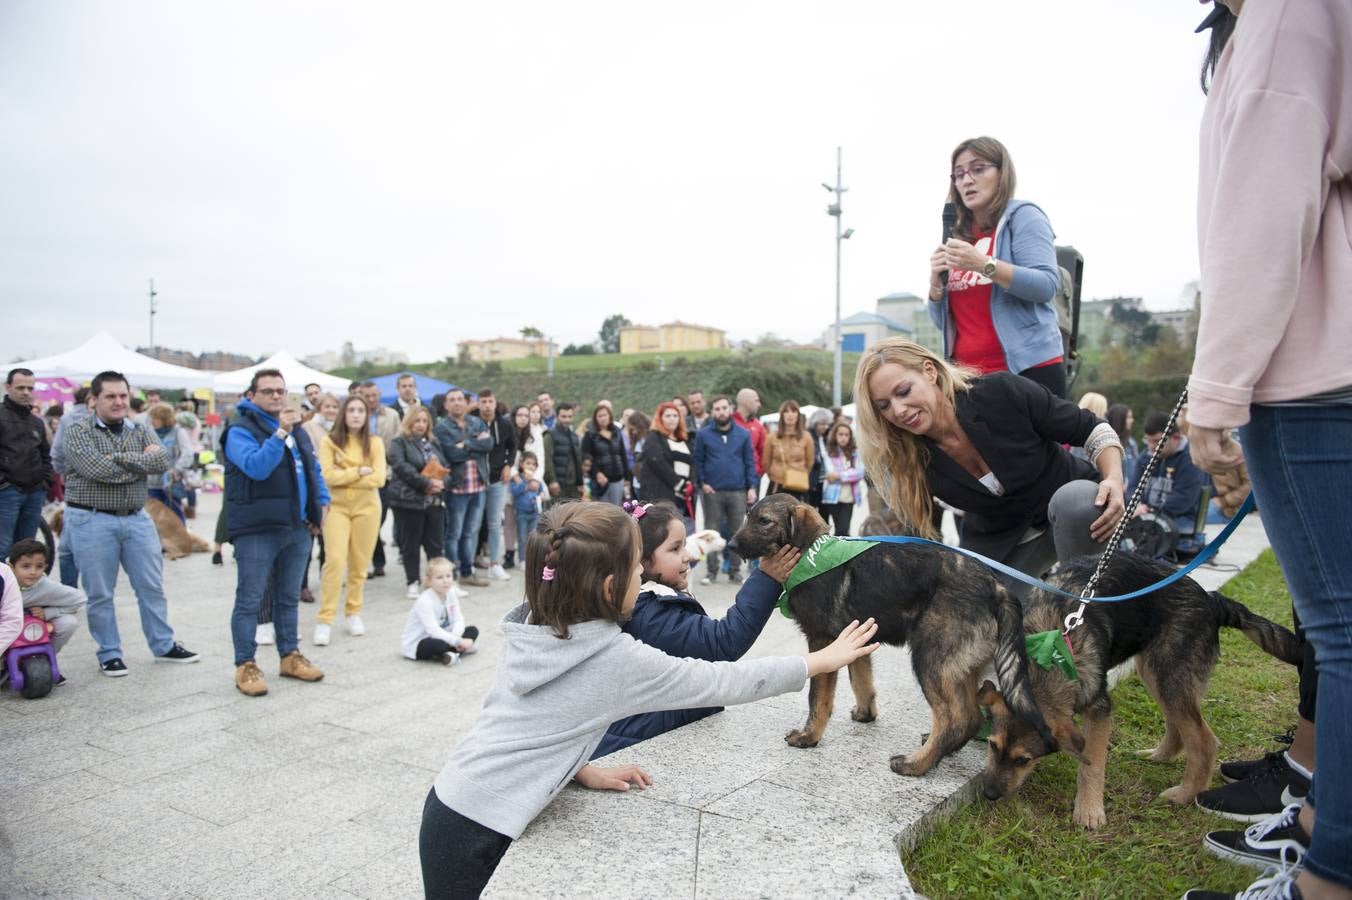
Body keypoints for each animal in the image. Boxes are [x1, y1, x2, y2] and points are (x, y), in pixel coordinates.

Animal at [724, 491, 1049, 772]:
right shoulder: (855, 640)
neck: (811, 555)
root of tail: (996, 587)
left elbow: (818, 697)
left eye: (764, 521)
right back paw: (939, 751)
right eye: (748, 517)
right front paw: (865, 715)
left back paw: (916, 764)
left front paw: (809, 736)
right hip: (960, 666)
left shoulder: (822, 640)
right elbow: (862, 682)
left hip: (930, 658)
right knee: (968, 717)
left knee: (952, 718)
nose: (731, 546)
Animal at [978, 551, 1303, 832]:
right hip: (1157, 672)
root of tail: (1211, 599)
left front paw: (1089, 811)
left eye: (1023, 760)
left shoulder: (1099, 709)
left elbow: (1092, 763)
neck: (1047, 654)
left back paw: (1185, 794)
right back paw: (1160, 755)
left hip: (1168, 673)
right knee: (1178, 724)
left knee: (1204, 741)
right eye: (992, 746)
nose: (989, 794)